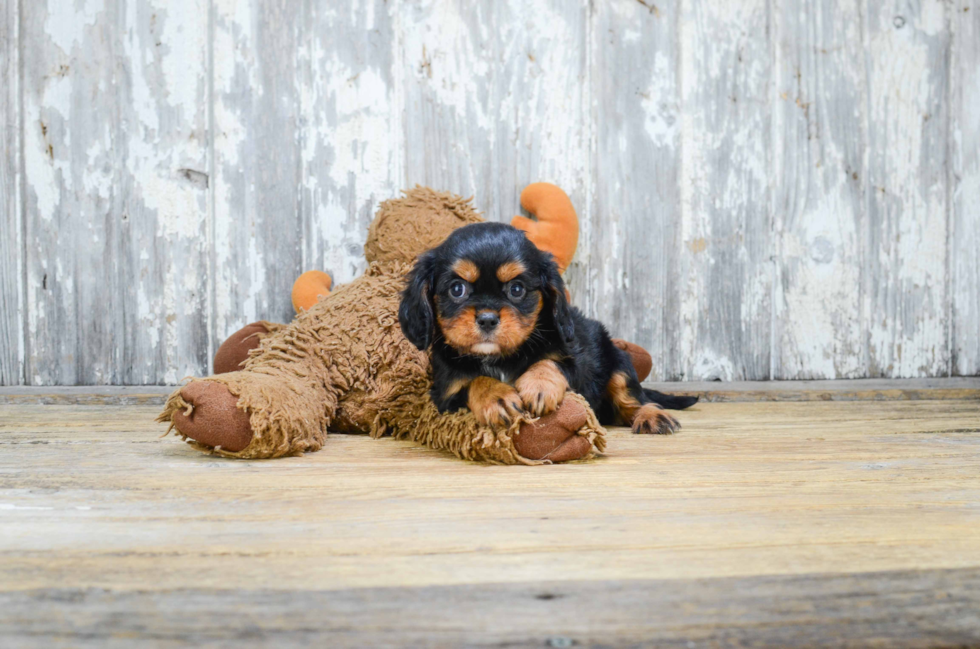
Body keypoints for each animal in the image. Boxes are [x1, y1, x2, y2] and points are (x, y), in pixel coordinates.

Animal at [398, 224, 696, 436]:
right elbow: (474, 380)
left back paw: (651, 415)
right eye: (457, 289)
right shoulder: (445, 394)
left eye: (517, 289)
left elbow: (550, 362)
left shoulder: (578, 366)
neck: (499, 357)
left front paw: (539, 385)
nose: (487, 319)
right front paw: (497, 396)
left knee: (632, 399)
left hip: (619, 363)